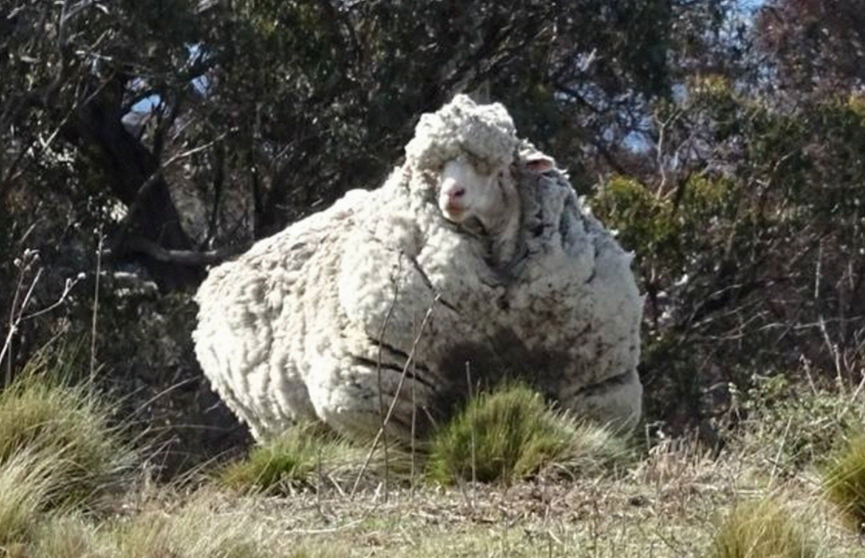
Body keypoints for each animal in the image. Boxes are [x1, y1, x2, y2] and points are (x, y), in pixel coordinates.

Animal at [194, 95, 640, 446]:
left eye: (494, 166)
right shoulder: (381, 389)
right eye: (433, 169)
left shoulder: (598, 385)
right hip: (274, 422)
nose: (452, 194)